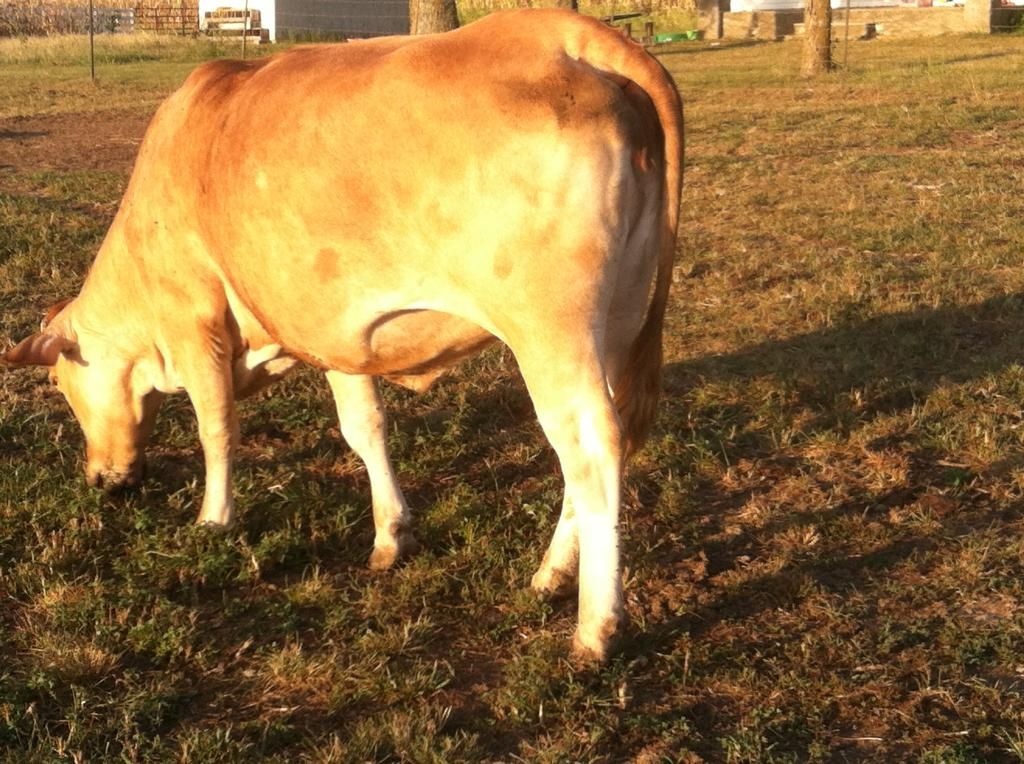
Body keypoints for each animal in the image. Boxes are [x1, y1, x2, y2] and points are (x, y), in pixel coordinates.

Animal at [3, 8, 683, 662]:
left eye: (61, 386)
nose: (98, 479)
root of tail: (569, 35)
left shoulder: (195, 323)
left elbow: (216, 430)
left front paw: (214, 519)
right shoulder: (335, 333)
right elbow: (364, 429)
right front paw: (390, 536)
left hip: (549, 329)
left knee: (589, 448)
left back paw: (595, 627)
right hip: (617, 319)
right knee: (600, 443)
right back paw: (551, 575)